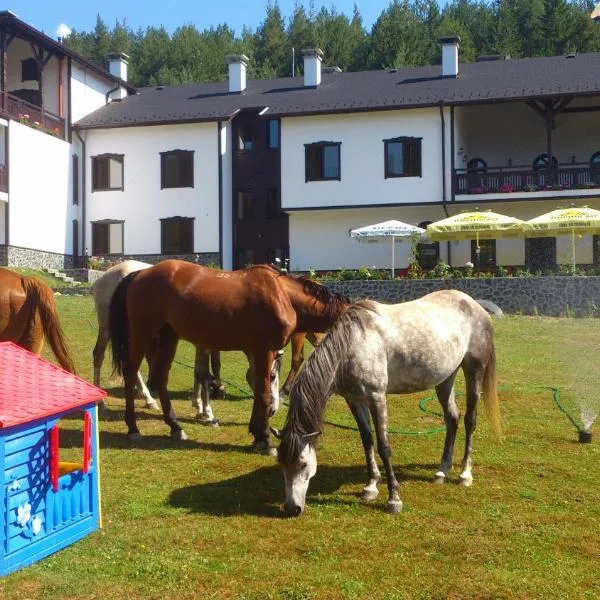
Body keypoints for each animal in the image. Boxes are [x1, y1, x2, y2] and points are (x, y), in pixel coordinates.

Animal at [110, 258, 350, 450]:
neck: (283, 295)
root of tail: (140, 274)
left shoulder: (257, 351)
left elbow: (257, 388)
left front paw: (256, 432)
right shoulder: (264, 350)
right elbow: (263, 392)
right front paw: (265, 438)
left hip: (169, 336)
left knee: (161, 377)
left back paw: (175, 426)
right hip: (143, 333)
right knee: (131, 372)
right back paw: (133, 427)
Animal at [276, 290, 502, 516]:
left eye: (303, 464)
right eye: (281, 463)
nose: (292, 508)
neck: (354, 344)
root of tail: (475, 305)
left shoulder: (376, 397)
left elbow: (384, 446)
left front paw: (394, 499)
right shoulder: (354, 400)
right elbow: (367, 440)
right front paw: (370, 487)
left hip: (474, 371)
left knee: (470, 421)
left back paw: (465, 474)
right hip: (445, 378)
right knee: (452, 418)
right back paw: (441, 472)